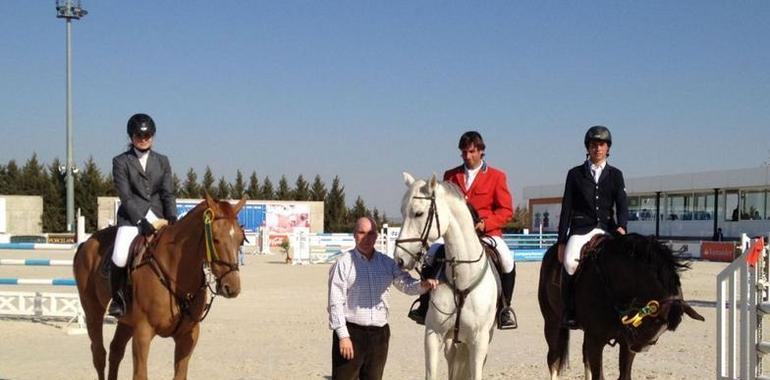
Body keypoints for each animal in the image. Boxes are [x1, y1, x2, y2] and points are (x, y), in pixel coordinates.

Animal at [73, 194, 244, 378]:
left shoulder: (188, 335)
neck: (176, 274)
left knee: (115, 350)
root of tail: (87, 243)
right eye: (215, 239)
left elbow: (180, 375)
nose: (232, 287)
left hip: (126, 321)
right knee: (99, 353)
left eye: (241, 240)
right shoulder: (143, 332)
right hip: (93, 310)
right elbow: (140, 375)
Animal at [392, 173, 496, 380]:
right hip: (451, 342)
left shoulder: (479, 341)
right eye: (401, 212)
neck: (462, 280)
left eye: (418, 213)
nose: (399, 259)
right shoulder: (433, 334)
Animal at [536, 233, 704, 378]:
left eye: (666, 329)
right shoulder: (596, 340)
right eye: (655, 320)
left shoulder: (623, 342)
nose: (638, 347)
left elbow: (624, 375)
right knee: (553, 359)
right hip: (552, 323)